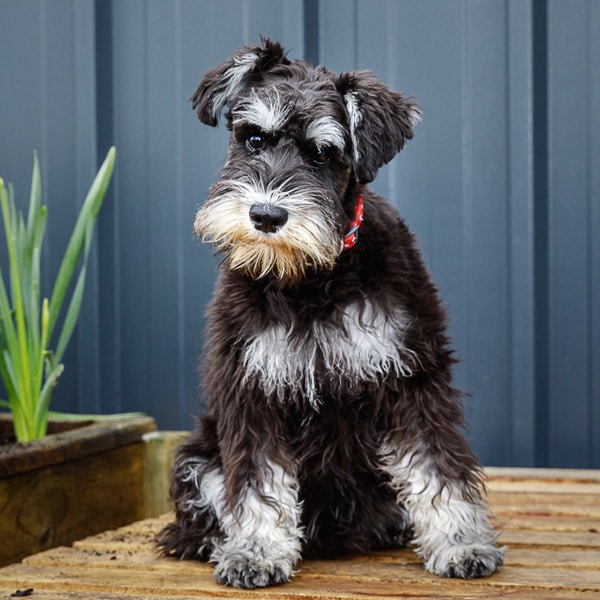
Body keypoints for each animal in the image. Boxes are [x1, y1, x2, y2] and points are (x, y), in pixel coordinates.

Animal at [157, 38, 504, 592]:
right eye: (252, 138)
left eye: (323, 153)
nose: (266, 216)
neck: (311, 278)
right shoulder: (251, 387)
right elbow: (255, 480)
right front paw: (255, 553)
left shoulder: (414, 375)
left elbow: (436, 464)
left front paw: (461, 544)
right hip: (198, 454)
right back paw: (213, 542)